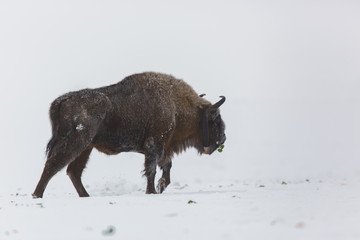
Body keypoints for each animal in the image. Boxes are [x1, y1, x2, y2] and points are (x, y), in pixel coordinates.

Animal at [33, 72, 225, 198]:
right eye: (214, 118)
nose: (223, 138)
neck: (175, 106)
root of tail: (65, 99)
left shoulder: (163, 147)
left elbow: (166, 167)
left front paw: (160, 186)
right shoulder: (155, 144)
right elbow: (152, 169)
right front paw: (152, 191)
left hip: (86, 148)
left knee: (73, 171)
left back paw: (85, 196)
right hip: (77, 142)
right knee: (54, 165)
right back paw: (37, 195)